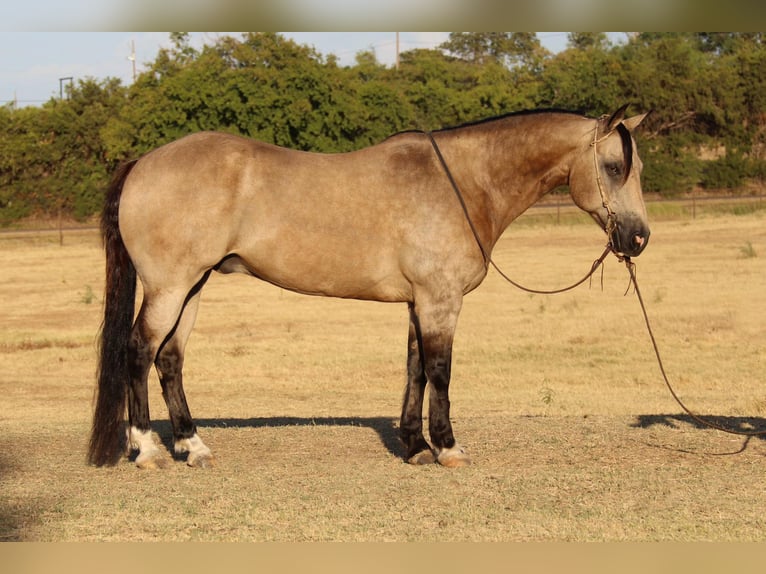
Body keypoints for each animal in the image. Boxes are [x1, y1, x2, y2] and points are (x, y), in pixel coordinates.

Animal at [90, 106, 656, 470]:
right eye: (613, 167)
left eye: (637, 169)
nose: (638, 237)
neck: (461, 183)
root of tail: (143, 162)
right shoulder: (440, 301)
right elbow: (441, 371)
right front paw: (448, 448)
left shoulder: (419, 303)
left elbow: (415, 370)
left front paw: (415, 446)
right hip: (169, 287)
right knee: (138, 351)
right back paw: (148, 450)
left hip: (193, 286)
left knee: (170, 360)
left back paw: (193, 447)